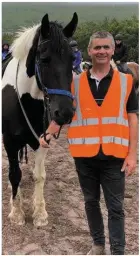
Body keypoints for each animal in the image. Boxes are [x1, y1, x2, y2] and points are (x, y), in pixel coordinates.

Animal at [2, 13, 78, 227]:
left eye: (72, 59)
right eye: (44, 59)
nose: (65, 113)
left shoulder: (43, 139)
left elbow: (39, 175)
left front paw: (40, 213)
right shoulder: (9, 141)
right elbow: (14, 174)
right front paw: (17, 212)